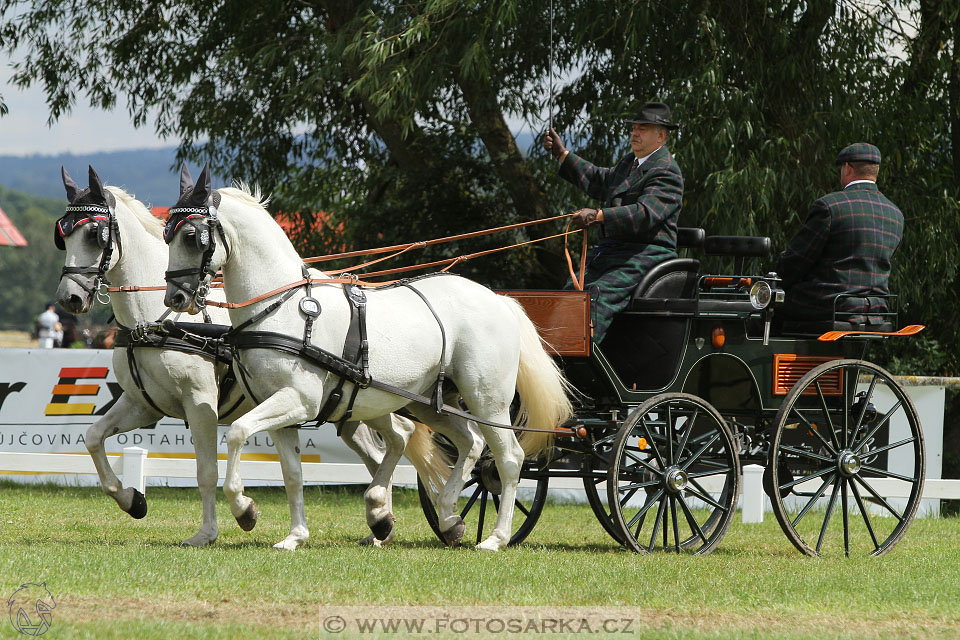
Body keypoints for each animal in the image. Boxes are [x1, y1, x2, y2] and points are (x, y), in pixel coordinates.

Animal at [51, 166, 442, 552]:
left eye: (94, 234)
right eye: (63, 236)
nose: (69, 298)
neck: (153, 320)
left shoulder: (200, 403)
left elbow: (207, 471)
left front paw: (218, 527)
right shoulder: (143, 404)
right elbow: (93, 438)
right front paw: (132, 500)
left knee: (401, 438)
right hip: (351, 409)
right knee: (388, 447)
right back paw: (381, 525)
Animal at [162, 166, 572, 552]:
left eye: (191, 236)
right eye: (166, 234)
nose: (175, 299)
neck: (280, 306)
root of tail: (498, 299)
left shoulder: (299, 400)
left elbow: (236, 433)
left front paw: (244, 509)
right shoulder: (280, 408)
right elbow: (292, 473)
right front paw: (295, 536)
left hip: (488, 400)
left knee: (507, 459)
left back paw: (495, 537)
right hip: (429, 403)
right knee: (467, 443)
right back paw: (445, 517)